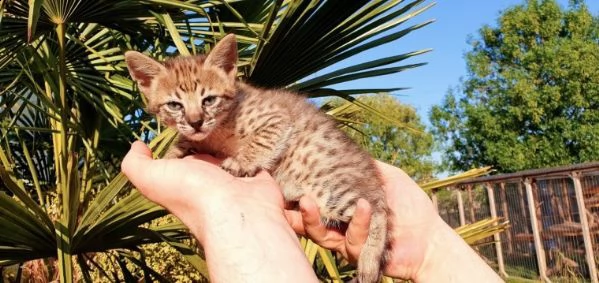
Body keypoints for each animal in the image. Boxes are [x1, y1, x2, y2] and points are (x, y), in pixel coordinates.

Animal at [124, 33, 392, 283]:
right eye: (174, 105)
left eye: (209, 100)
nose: (196, 122)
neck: (218, 129)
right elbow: (185, 141)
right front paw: (173, 152)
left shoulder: (276, 118)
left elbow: (259, 141)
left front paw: (241, 161)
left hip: (332, 191)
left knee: (378, 213)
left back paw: (369, 260)